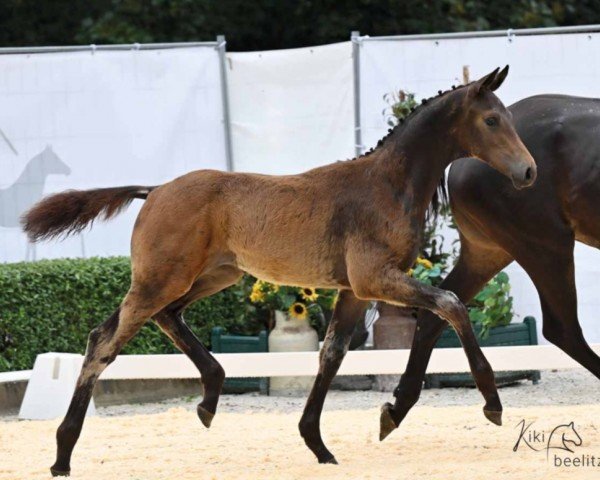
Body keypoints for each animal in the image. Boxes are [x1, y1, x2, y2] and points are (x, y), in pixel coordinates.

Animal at [21, 67, 536, 476]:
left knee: (160, 319)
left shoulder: (354, 290)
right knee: (104, 342)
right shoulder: (375, 278)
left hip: (210, 277)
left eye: (509, 118)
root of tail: (156, 190)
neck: (386, 184)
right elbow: (452, 305)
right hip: (160, 280)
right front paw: (491, 402)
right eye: (491, 120)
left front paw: (320, 443)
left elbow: (333, 353)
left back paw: (209, 399)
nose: (529, 172)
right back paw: (62, 455)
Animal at [338, 95, 600, 444]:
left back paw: (398, 408)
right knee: (563, 329)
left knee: (438, 310)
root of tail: (462, 162)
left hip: (489, 252)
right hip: (546, 244)